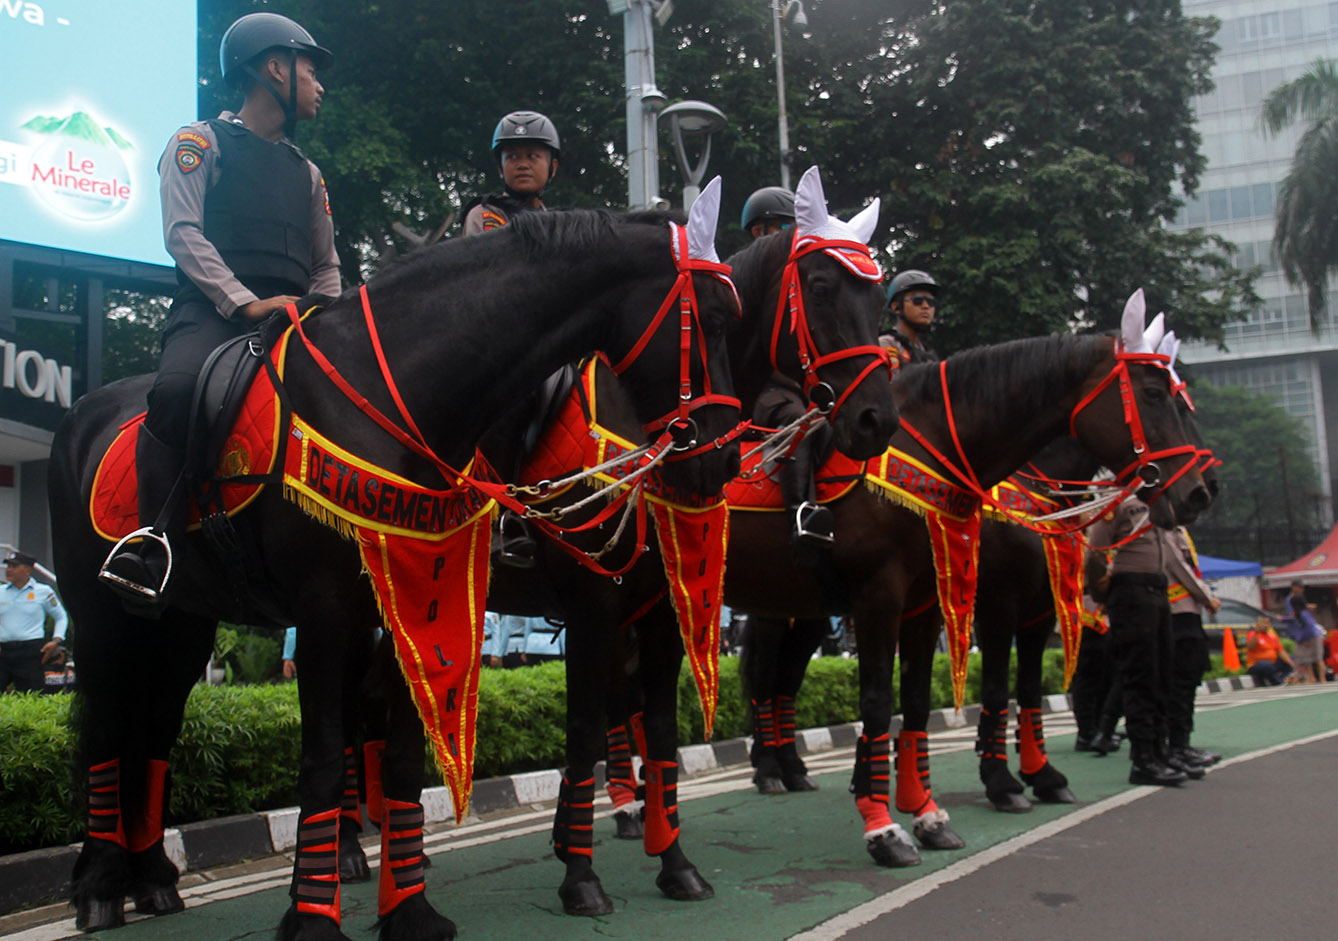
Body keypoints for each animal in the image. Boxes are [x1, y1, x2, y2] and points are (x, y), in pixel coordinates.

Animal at [54, 206, 743, 941]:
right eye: (714, 320)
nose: (720, 462)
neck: (395, 394)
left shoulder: (421, 588)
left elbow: (416, 754)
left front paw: (410, 909)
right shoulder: (338, 606)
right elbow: (325, 756)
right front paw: (314, 917)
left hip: (183, 621)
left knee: (155, 728)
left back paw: (157, 876)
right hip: (99, 615)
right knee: (107, 727)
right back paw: (101, 885)